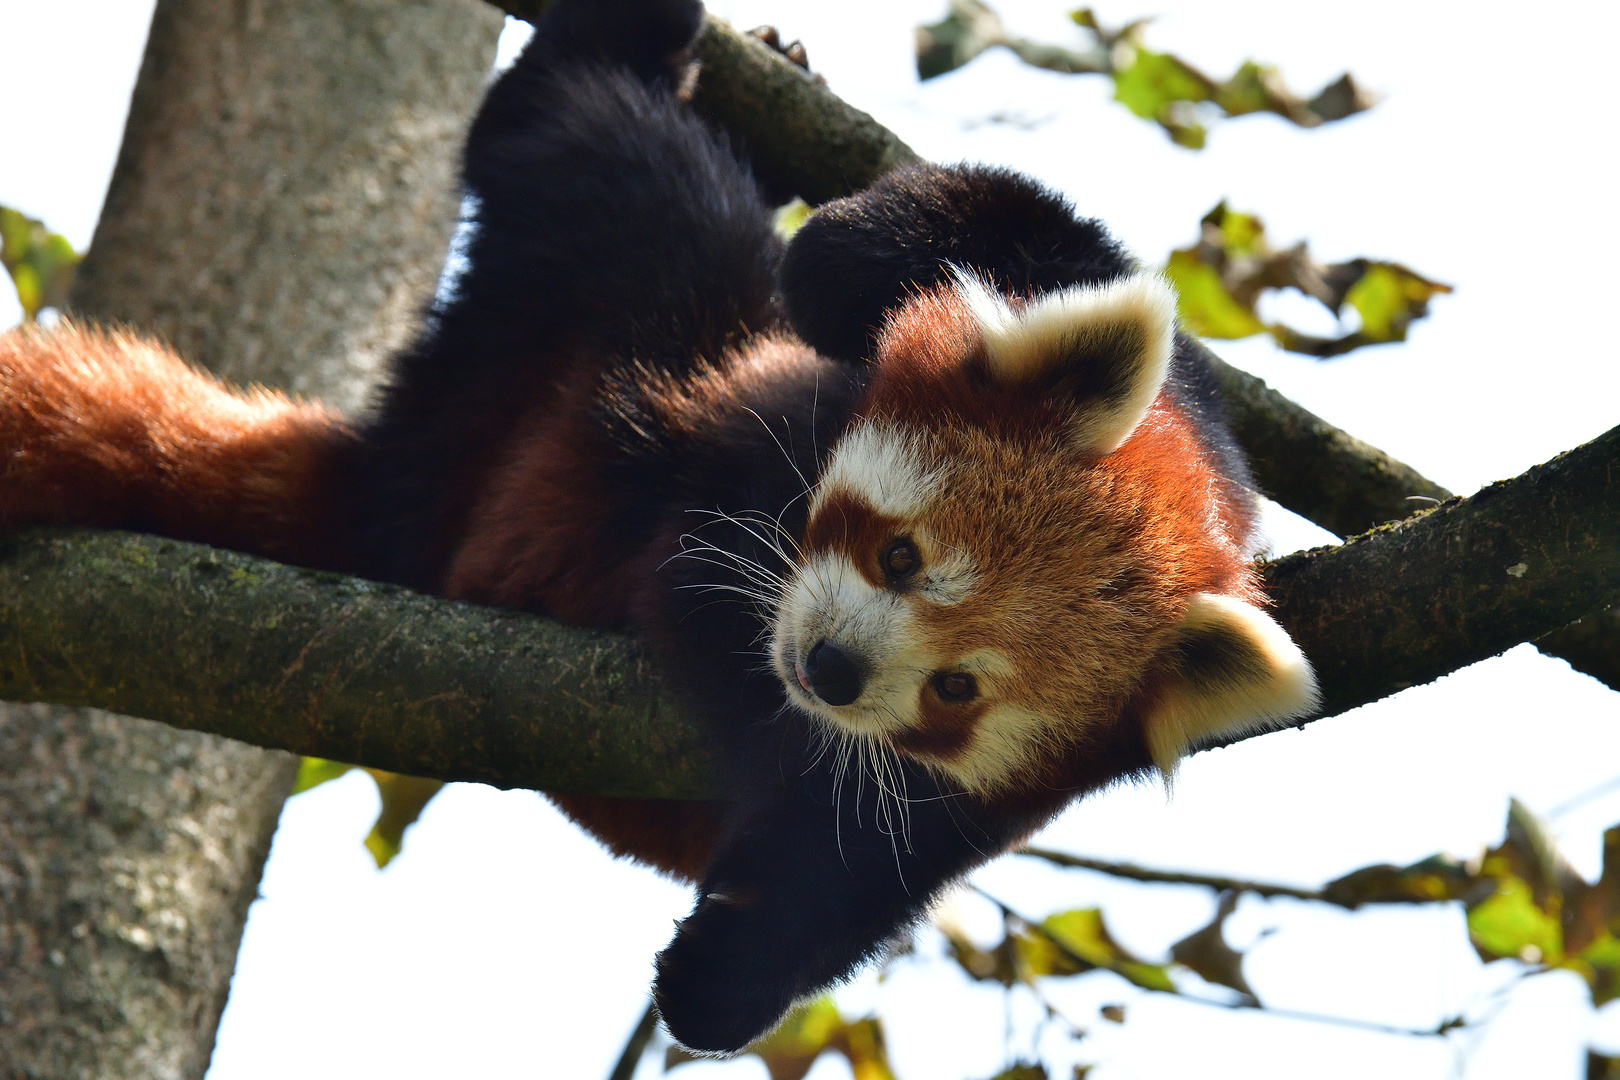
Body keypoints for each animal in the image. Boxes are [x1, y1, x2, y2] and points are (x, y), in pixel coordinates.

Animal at [0, 0, 1318, 1054]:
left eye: (959, 692)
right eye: (900, 555)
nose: (833, 671)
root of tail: (394, 477)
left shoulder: (955, 804)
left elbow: (828, 893)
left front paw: (719, 974)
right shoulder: (1186, 425)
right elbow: (941, 249)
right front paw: (872, 243)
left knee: (581, 145)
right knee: (612, 150)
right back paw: (658, 41)